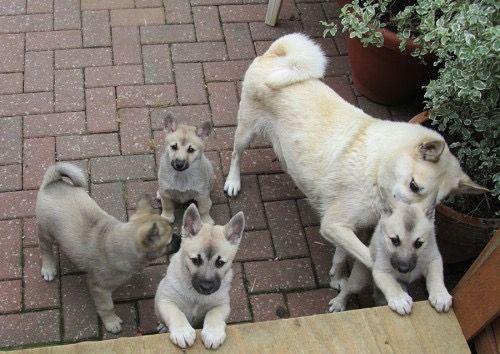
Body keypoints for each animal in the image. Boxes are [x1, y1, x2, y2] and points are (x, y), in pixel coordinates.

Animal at [36, 163, 182, 332]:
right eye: (169, 241)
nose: (180, 238)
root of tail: (52, 182)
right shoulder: (99, 288)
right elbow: (107, 307)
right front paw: (111, 322)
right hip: (45, 232)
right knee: (45, 249)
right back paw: (48, 268)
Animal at [154, 203, 244, 350]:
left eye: (220, 263)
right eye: (195, 260)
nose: (206, 287)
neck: (197, 296)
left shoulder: (222, 305)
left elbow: (214, 314)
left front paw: (213, 333)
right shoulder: (166, 300)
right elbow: (176, 313)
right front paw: (183, 332)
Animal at [224, 33, 488, 292]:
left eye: (436, 202)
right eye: (414, 186)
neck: (376, 169)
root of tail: (276, 55)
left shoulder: (349, 228)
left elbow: (343, 254)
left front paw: (338, 276)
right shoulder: (333, 225)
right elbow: (368, 257)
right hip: (245, 130)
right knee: (236, 155)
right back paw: (233, 182)